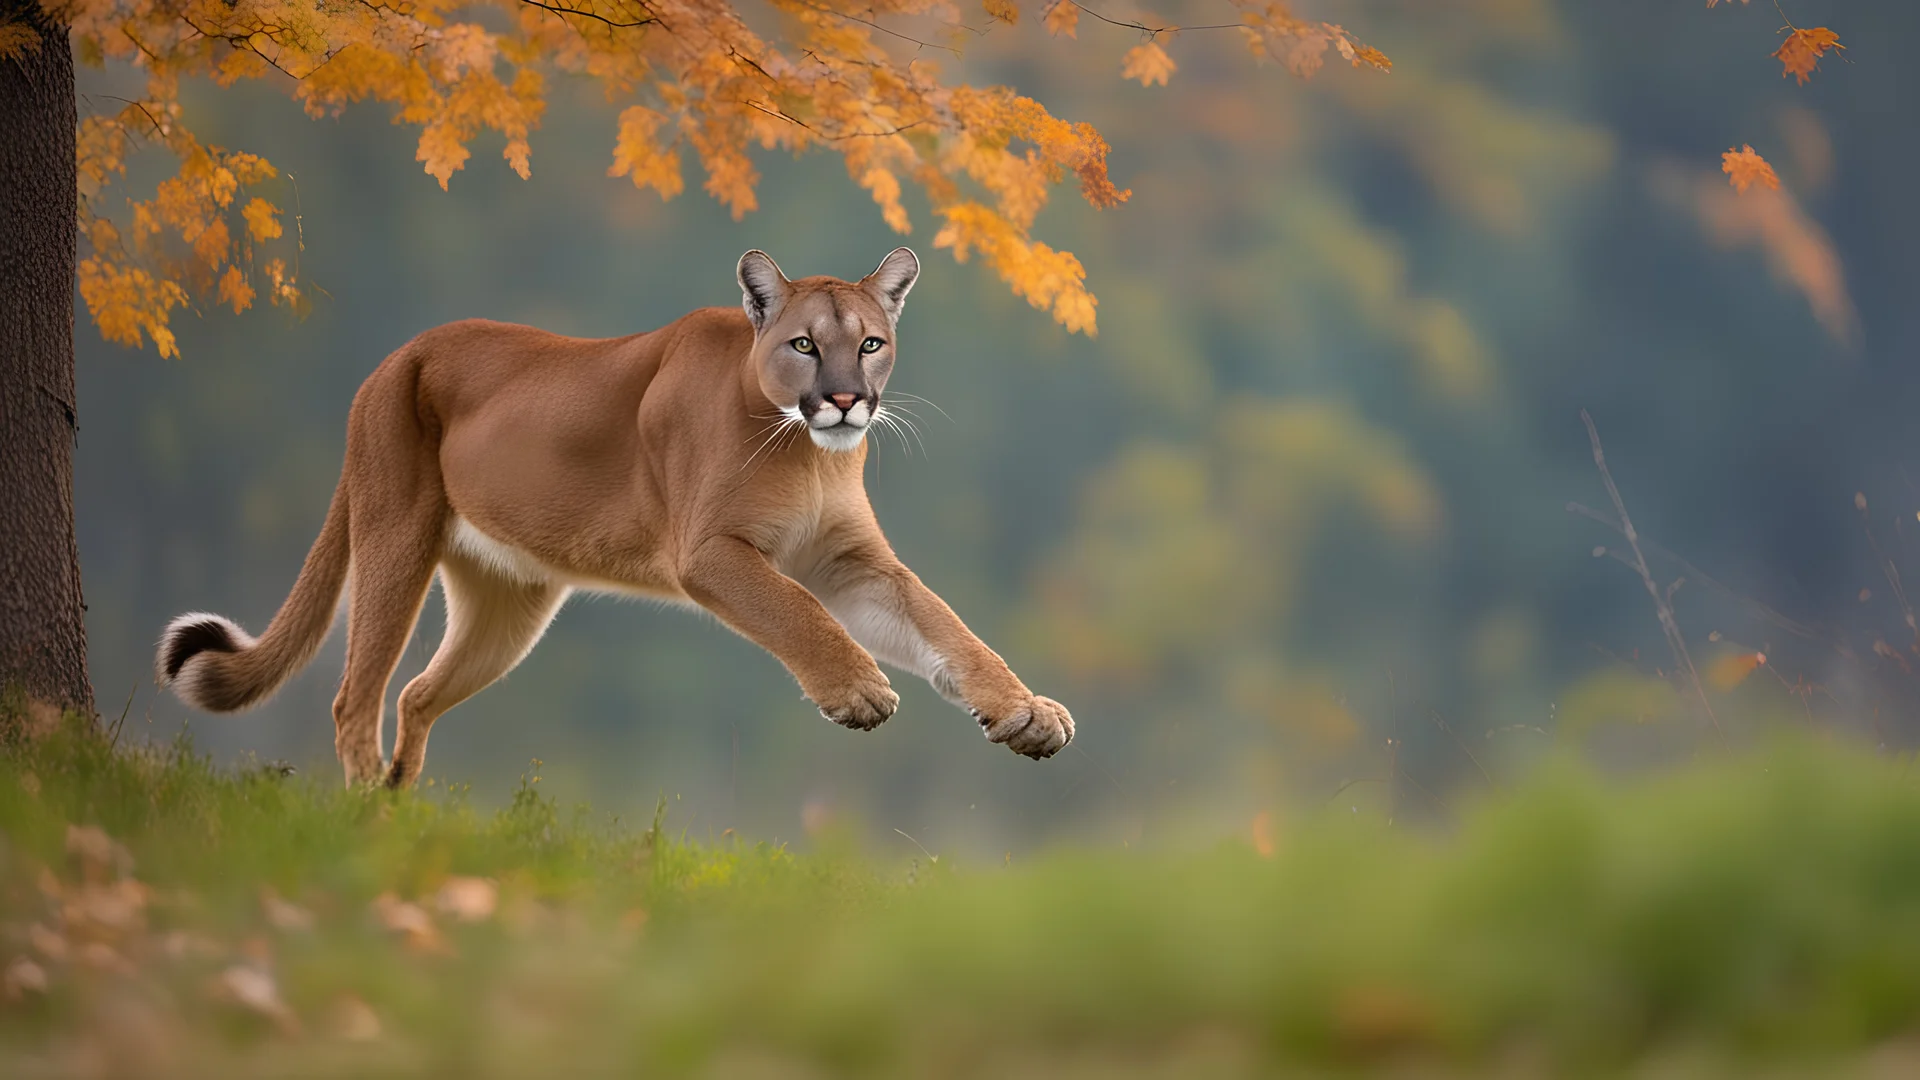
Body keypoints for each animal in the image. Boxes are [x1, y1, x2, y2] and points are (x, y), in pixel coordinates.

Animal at [155, 245, 1075, 780]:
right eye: (806, 344)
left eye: (872, 342)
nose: (847, 399)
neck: (810, 454)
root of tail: (393, 358)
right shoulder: (712, 552)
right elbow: (796, 610)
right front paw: (858, 692)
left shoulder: (854, 564)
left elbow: (945, 626)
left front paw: (1026, 710)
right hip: (395, 538)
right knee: (356, 700)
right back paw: (366, 833)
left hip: (508, 606)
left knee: (415, 695)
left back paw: (402, 814)